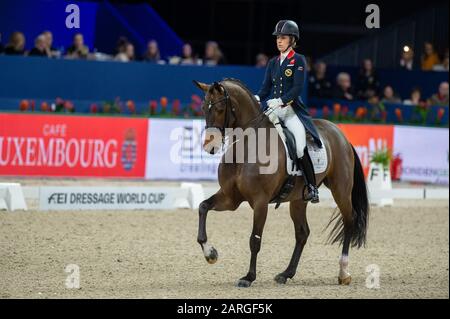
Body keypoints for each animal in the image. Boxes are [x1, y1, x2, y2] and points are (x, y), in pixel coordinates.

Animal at [193, 79, 370, 288]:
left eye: (220, 108)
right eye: (203, 107)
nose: (209, 146)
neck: (248, 147)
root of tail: (341, 135)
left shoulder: (260, 202)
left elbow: (255, 240)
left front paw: (248, 277)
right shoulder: (230, 198)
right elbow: (203, 207)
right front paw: (210, 254)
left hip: (340, 189)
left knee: (349, 220)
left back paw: (343, 273)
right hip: (299, 199)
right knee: (302, 233)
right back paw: (286, 274)